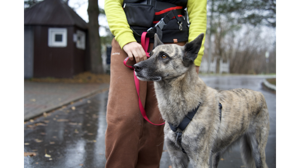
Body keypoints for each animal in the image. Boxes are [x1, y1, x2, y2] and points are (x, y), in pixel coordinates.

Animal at [134, 33, 270, 168]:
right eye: (150, 54)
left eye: (163, 56)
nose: (135, 67)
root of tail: (259, 94)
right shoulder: (177, 158)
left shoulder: (199, 161)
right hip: (217, 154)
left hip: (258, 151)